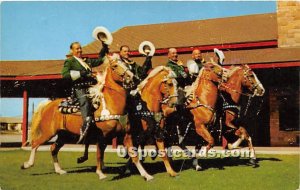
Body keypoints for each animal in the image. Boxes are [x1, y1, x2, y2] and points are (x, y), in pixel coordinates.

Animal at [21, 57, 154, 181]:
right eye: (115, 66)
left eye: (127, 65)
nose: (132, 78)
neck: (111, 105)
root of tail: (49, 104)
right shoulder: (102, 136)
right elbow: (99, 155)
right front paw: (100, 174)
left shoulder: (126, 135)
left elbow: (134, 155)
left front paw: (146, 175)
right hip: (48, 132)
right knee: (35, 144)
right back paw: (27, 164)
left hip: (64, 135)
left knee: (53, 148)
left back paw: (59, 170)